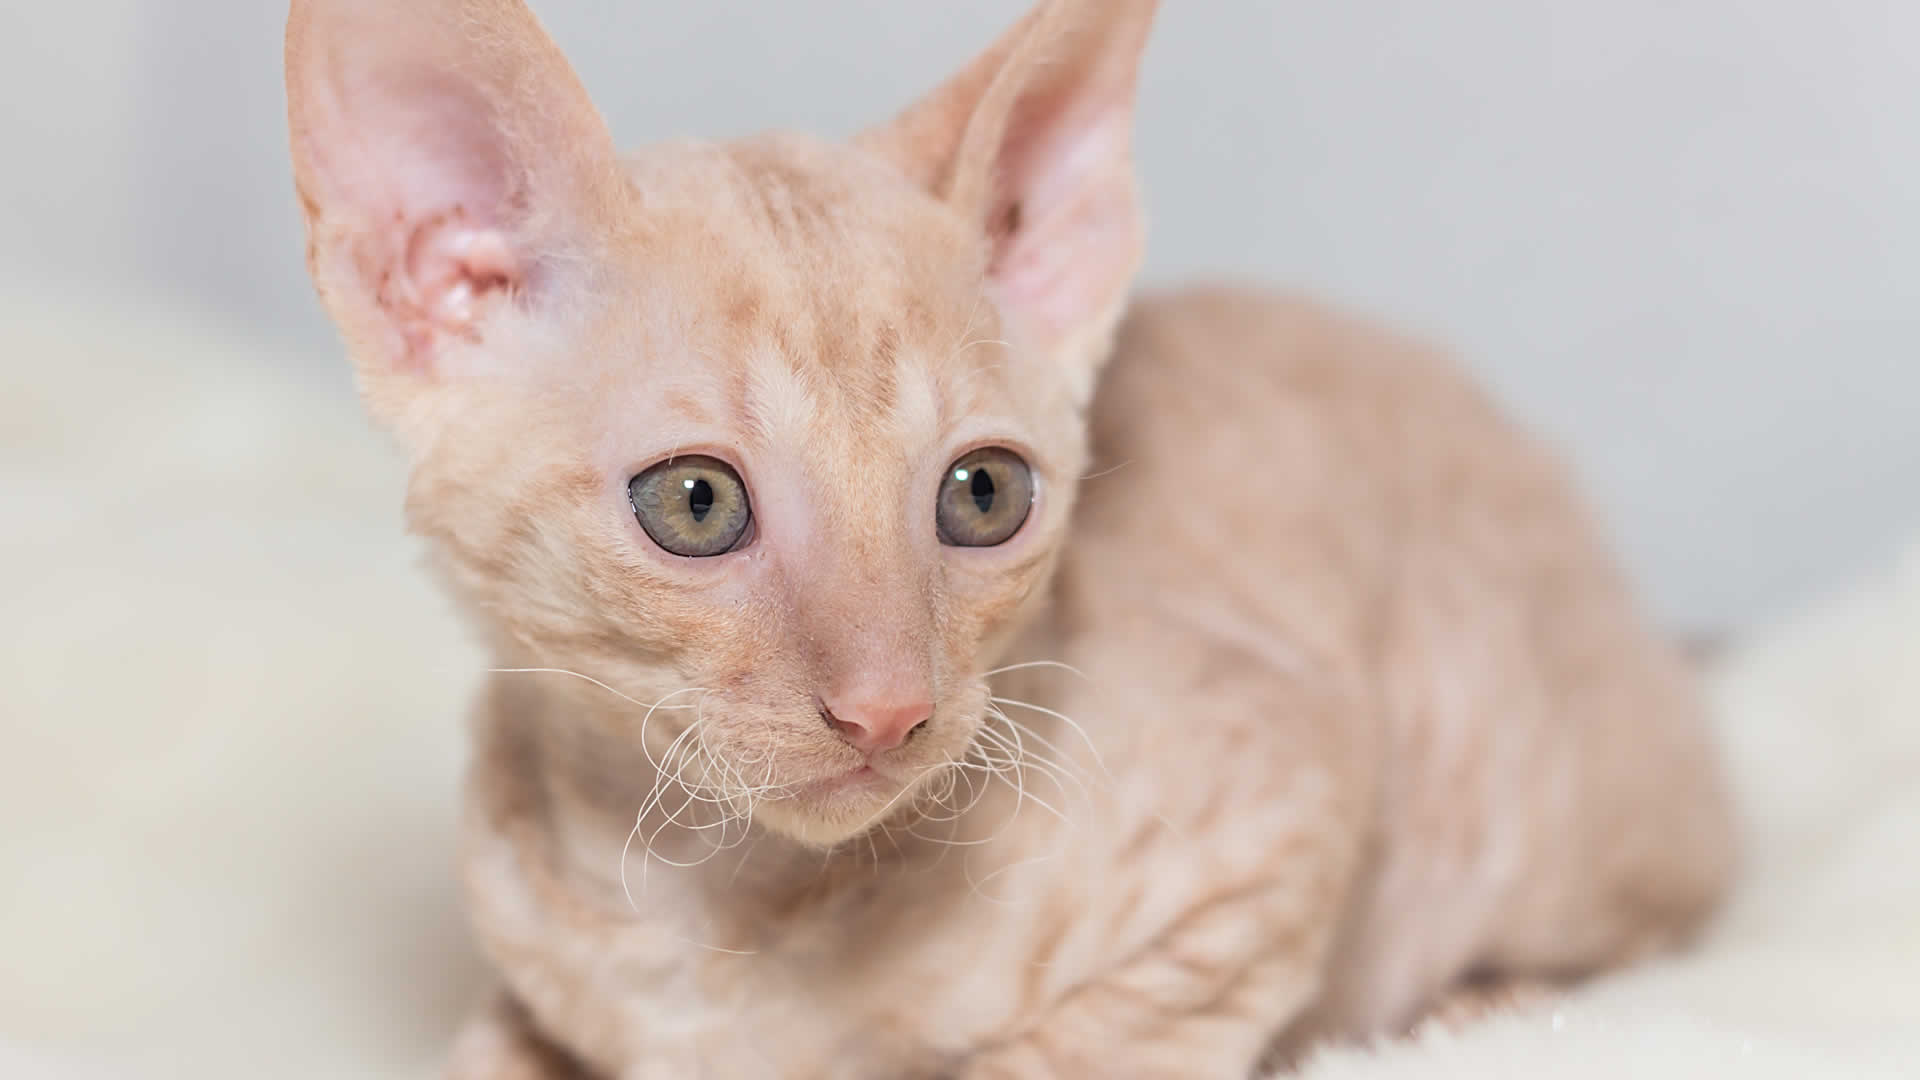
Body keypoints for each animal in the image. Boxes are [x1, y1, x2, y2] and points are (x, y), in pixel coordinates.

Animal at [284, 0, 1743, 1068]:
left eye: (981, 496)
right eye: (695, 504)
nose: (888, 708)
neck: (697, 904)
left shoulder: (1279, 813)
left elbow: (1058, 1053)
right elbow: (497, 1047)